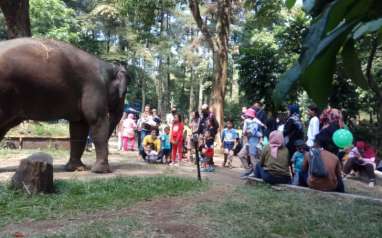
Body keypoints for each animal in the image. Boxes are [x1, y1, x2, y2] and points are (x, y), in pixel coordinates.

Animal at [0, 38, 131, 173]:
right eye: (125, 92)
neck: (107, 65)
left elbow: (79, 127)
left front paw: (77, 169)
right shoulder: (94, 86)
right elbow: (97, 120)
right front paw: (100, 171)